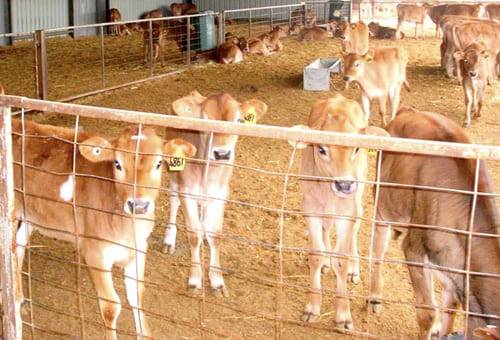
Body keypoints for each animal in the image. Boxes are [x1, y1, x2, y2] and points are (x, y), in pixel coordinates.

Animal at [290, 93, 390, 330]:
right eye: (321, 149)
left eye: (357, 149)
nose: (344, 184)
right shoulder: (310, 208)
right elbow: (316, 254)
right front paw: (312, 307)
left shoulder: (348, 211)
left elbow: (341, 259)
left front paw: (343, 315)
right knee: (327, 230)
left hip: (358, 200)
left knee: (354, 232)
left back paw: (354, 267)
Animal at [370, 107, 498, 340]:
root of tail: (410, 111)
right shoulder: (414, 249)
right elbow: (427, 313)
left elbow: (450, 307)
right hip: (382, 204)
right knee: (377, 251)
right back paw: (374, 297)